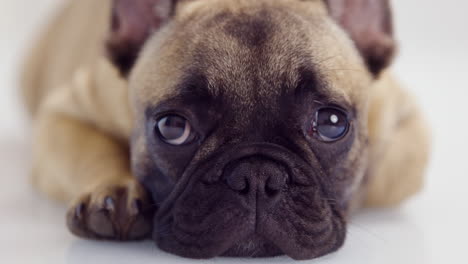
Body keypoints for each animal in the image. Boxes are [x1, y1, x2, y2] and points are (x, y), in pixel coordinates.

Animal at [21, 0, 432, 260]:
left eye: (332, 124)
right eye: (173, 127)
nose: (257, 177)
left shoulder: (406, 129)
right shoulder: (66, 110)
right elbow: (91, 150)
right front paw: (112, 192)